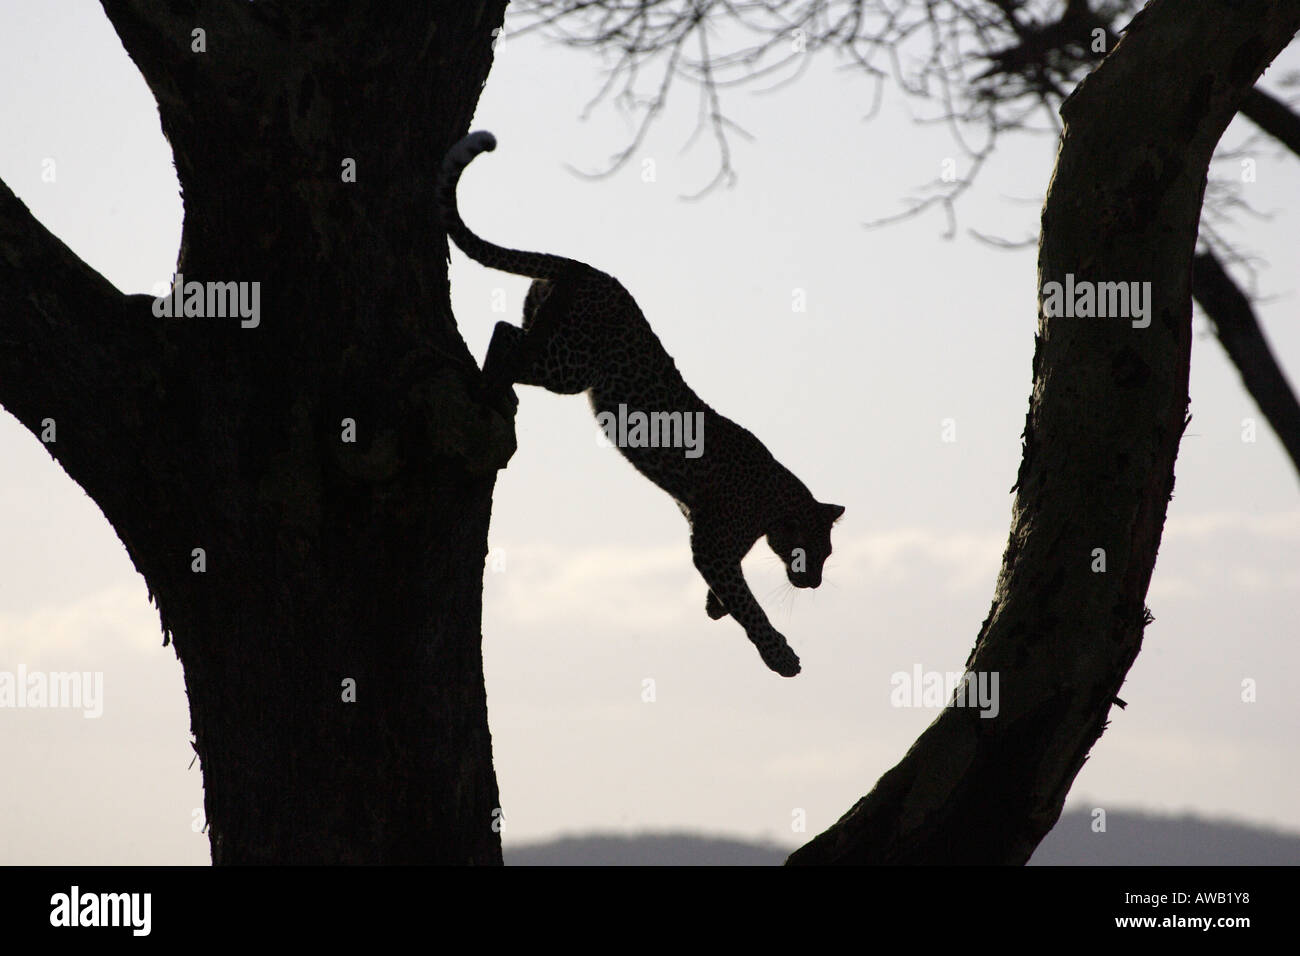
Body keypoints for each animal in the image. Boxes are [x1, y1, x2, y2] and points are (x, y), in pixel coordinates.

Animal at [438, 130, 844, 677]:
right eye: (816, 551)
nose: (816, 580)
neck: (776, 502)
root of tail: (587, 268)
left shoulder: (710, 540)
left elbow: (729, 597)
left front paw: (715, 607)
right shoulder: (712, 546)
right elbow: (749, 605)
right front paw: (780, 655)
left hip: (551, 335)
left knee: (510, 329)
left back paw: (500, 393)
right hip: (571, 366)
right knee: (505, 335)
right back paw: (490, 390)